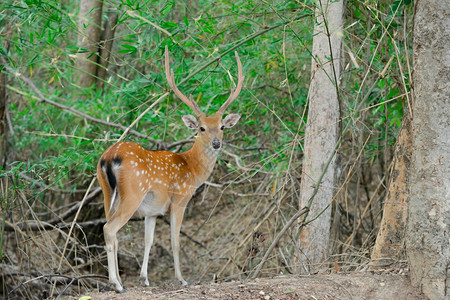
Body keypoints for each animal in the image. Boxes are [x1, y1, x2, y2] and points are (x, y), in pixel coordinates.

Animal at [96, 45, 244, 292]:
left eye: (222, 126)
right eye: (202, 128)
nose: (216, 143)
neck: (192, 169)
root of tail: (109, 158)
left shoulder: (152, 211)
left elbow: (149, 240)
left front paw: (144, 278)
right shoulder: (180, 199)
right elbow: (175, 240)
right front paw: (182, 278)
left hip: (107, 192)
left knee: (111, 230)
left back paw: (118, 281)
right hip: (132, 193)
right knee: (110, 229)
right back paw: (117, 284)